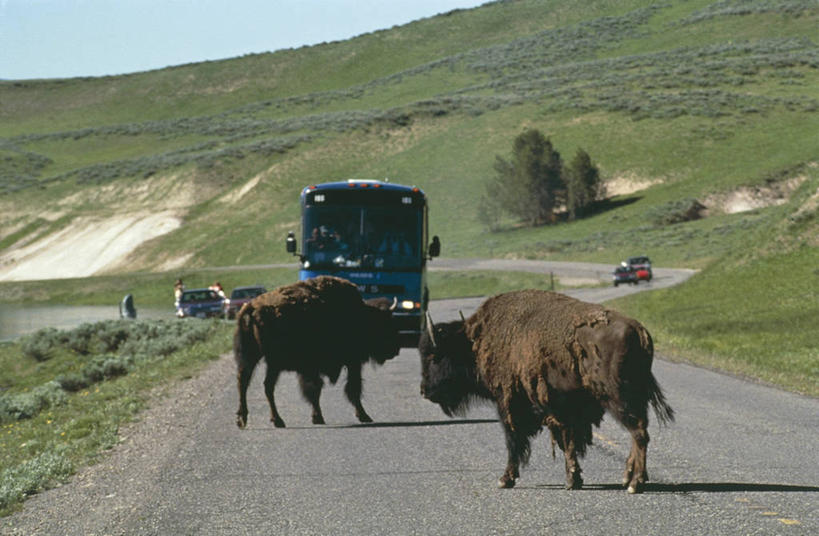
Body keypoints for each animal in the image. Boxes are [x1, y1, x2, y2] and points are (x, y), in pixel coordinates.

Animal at [234, 276, 400, 428]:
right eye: (386, 323)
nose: (396, 350)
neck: (361, 315)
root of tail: (251, 308)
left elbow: (319, 389)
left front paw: (317, 417)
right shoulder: (350, 361)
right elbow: (345, 388)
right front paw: (361, 416)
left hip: (255, 358)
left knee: (251, 383)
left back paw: (247, 419)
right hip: (272, 361)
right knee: (262, 385)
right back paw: (274, 420)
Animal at [420, 288, 676, 494]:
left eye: (433, 356)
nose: (424, 391)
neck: (474, 341)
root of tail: (639, 330)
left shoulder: (509, 403)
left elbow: (514, 440)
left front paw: (505, 479)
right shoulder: (564, 409)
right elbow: (568, 441)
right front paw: (573, 479)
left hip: (617, 397)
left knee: (639, 433)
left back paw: (635, 484)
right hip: (632, 398)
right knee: (638, 432)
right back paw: (626, 478)